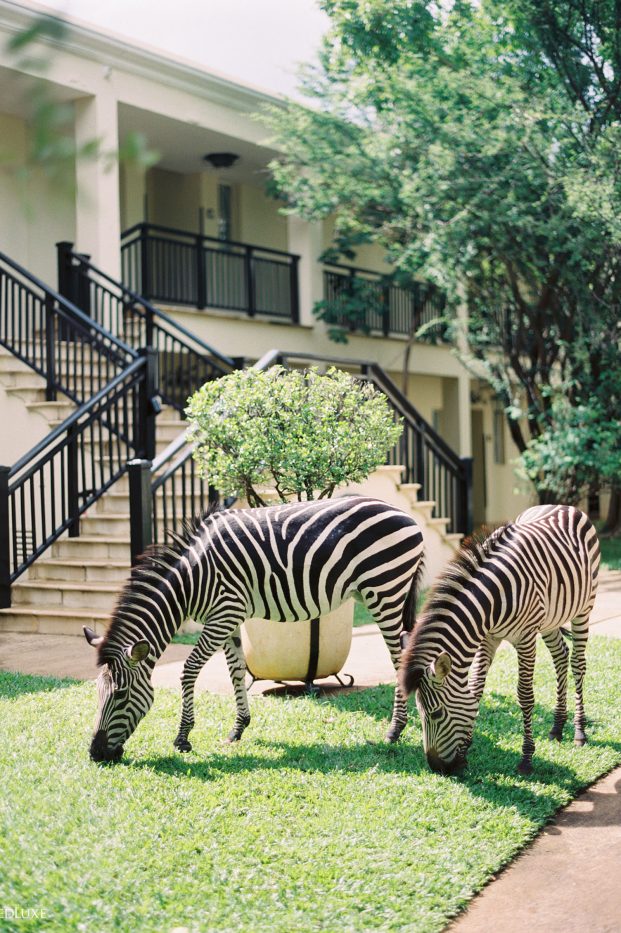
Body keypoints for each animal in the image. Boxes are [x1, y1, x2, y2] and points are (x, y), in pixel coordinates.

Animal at [84, 495, 424, 762]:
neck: (192, 581)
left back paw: (395, 730)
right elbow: (236, 670)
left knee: (400, 658)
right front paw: (238, 728)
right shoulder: (228, 618)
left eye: (121, 695)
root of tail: (408, 516)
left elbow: (190, 669)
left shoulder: (222, 614)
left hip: (384, 592)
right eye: (97, 691)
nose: (96, 753)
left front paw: (183, 737)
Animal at [399, 504, 600, 776]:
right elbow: (476, 689)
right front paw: (465, 751)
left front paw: (526, 758)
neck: (494, 600)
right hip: (550, 618)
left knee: (578, 664)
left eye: (437, 713)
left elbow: (524, 696)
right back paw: (557, 727)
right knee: (560, 656)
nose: (437, 768)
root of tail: (560, 506)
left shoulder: (525, 638)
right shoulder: (488, 638)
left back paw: (579, 731)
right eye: (419, 712)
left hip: (583, 608)